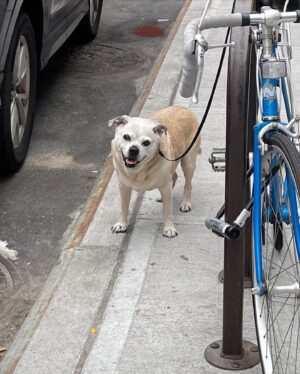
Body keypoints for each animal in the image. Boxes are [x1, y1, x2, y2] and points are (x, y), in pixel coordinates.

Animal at [109, 106, 200, 238]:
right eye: (126, 137)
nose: (134, 149)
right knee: (175, 176)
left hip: (189, 162)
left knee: (188, 184)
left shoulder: (166, 188)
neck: (139, 170)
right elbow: (124, 207)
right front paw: (122, 224)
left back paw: (185, 203)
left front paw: (169, 228)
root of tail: (182, 108)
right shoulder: (124, 187)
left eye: (146, 143)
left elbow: (167, 211)